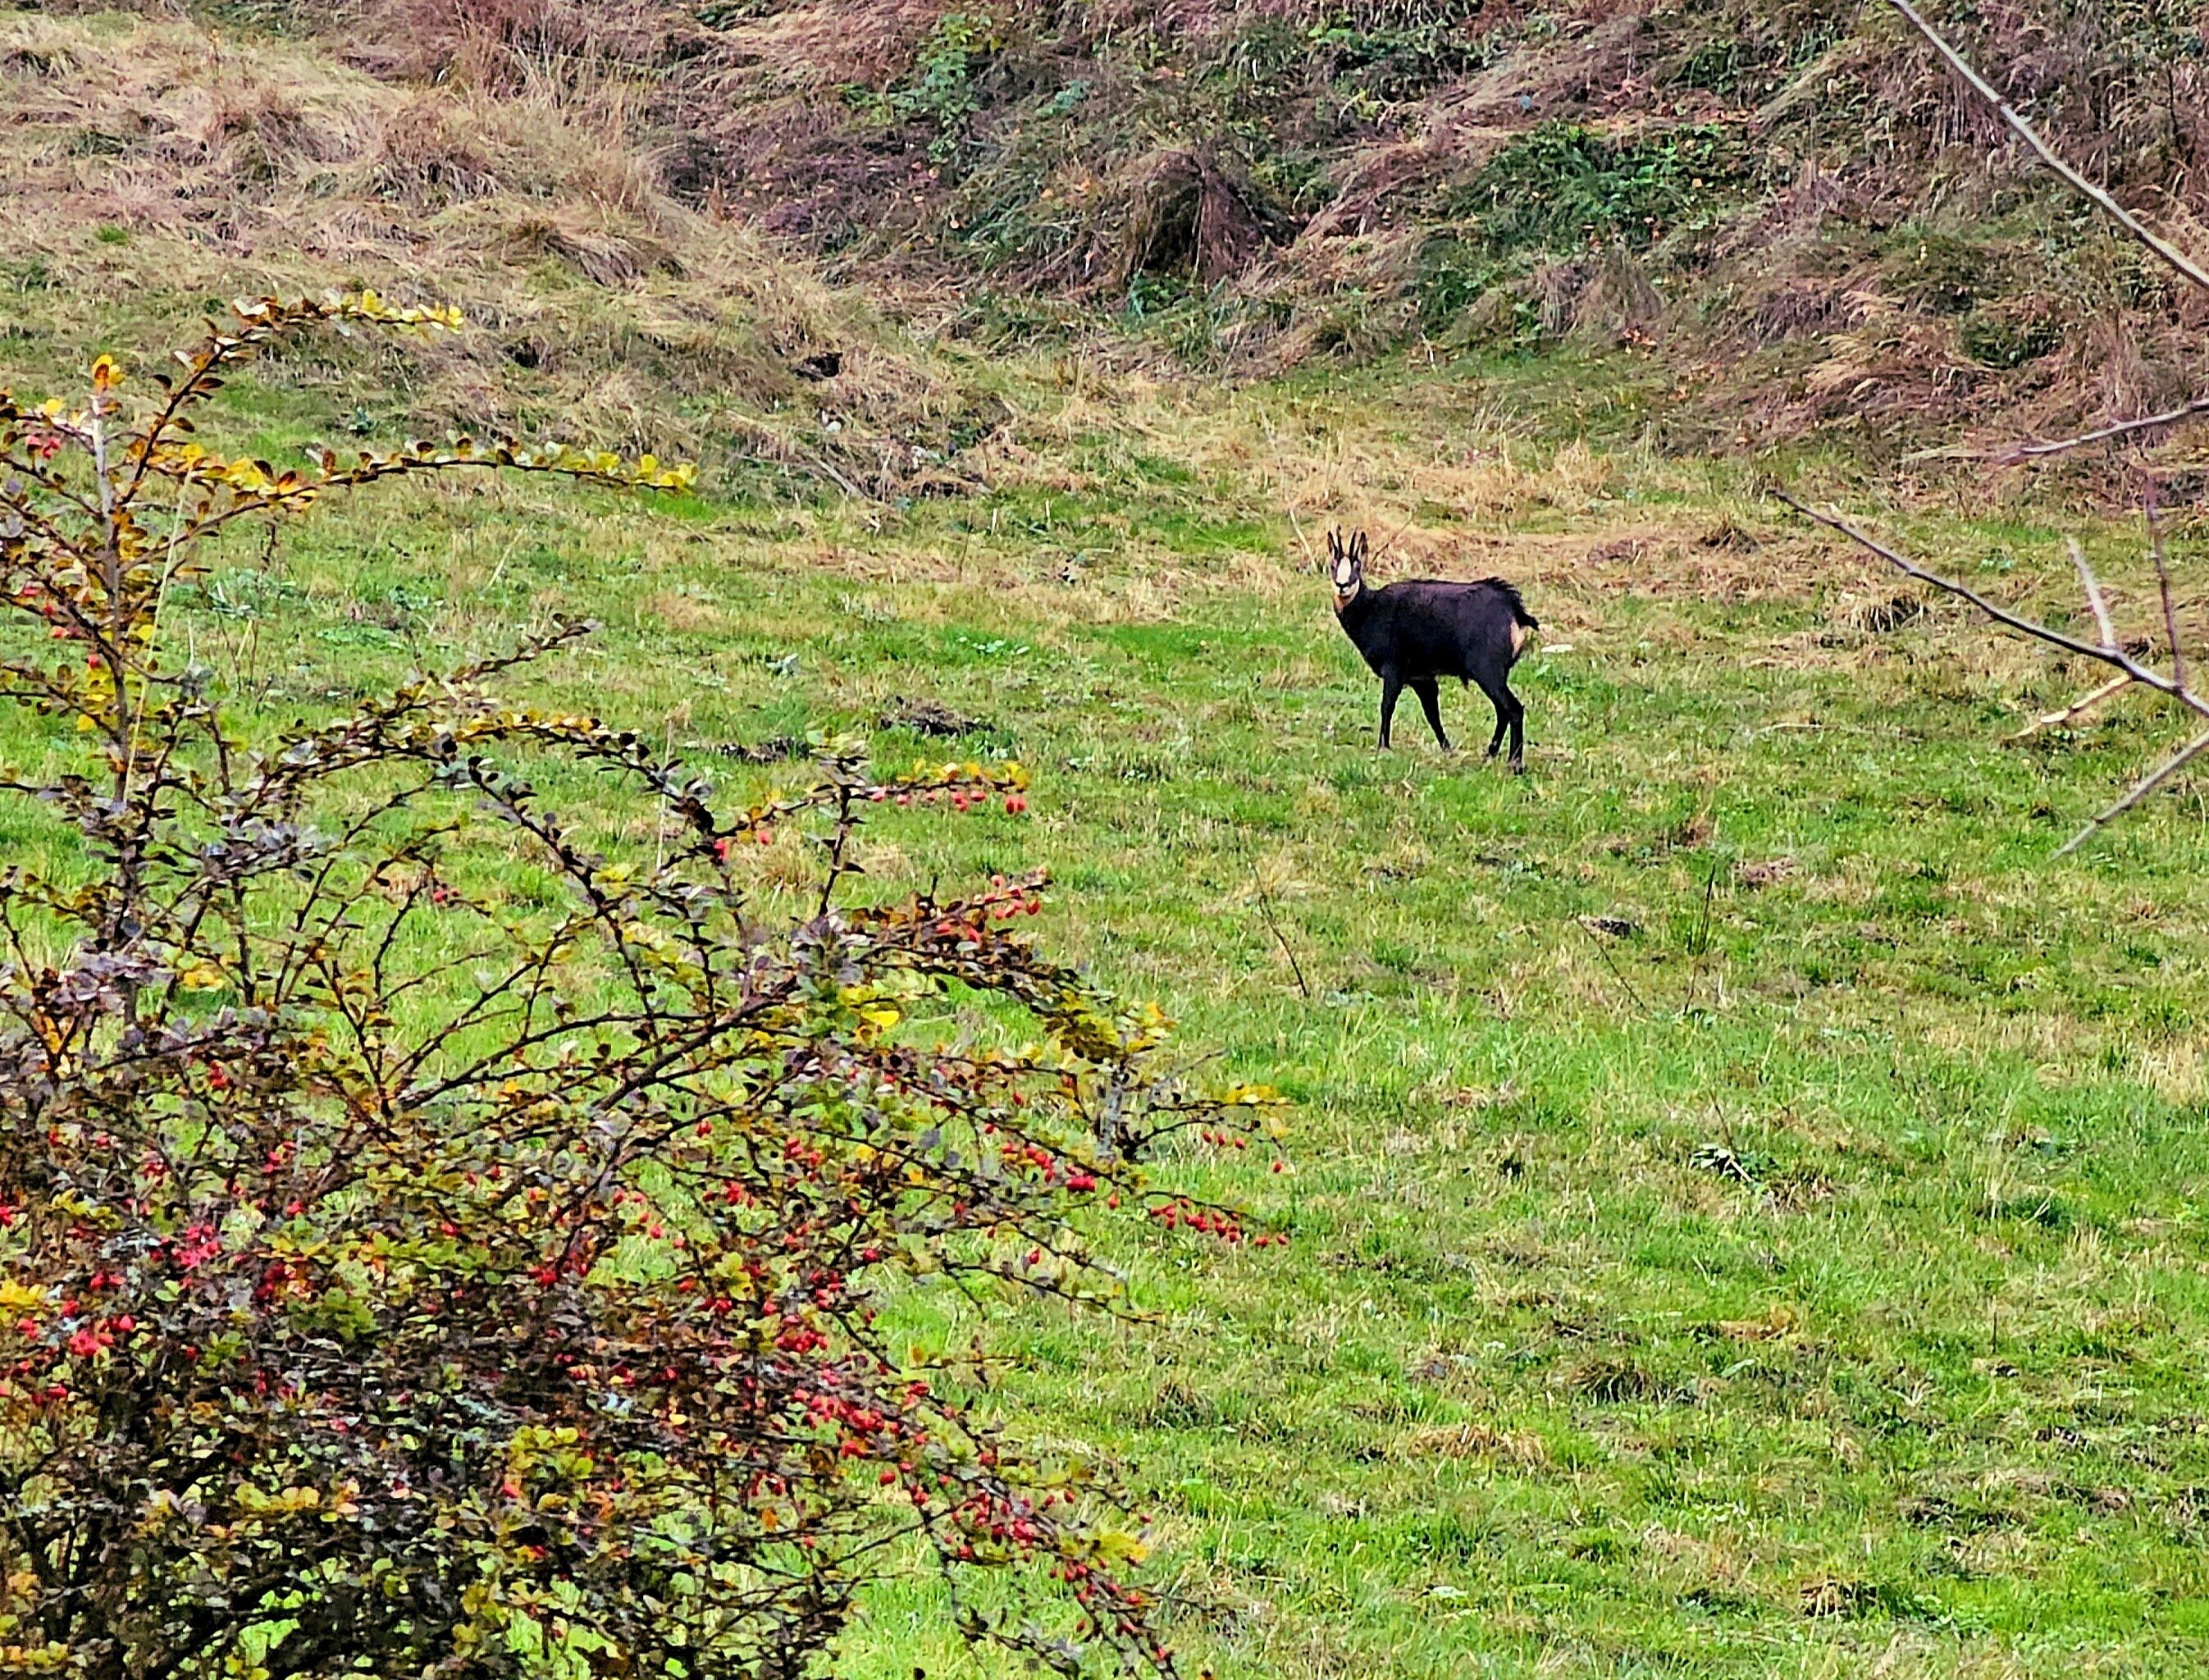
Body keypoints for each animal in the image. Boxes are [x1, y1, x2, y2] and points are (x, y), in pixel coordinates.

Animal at [1326, 526, 1537, 770]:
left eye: (1357, 566)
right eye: (1332, 566)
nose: (1342, 586)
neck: (1371, 610)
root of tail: (1515, 611)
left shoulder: (1394, 668)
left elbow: (1387, 706)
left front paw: (1383, 748)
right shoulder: (1422, 678)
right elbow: (1432, 714)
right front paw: (1448, 749)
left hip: (1487, 671)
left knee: (1513, 709)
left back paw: (1515, 763)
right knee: (1502, 711)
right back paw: (1490, 753)